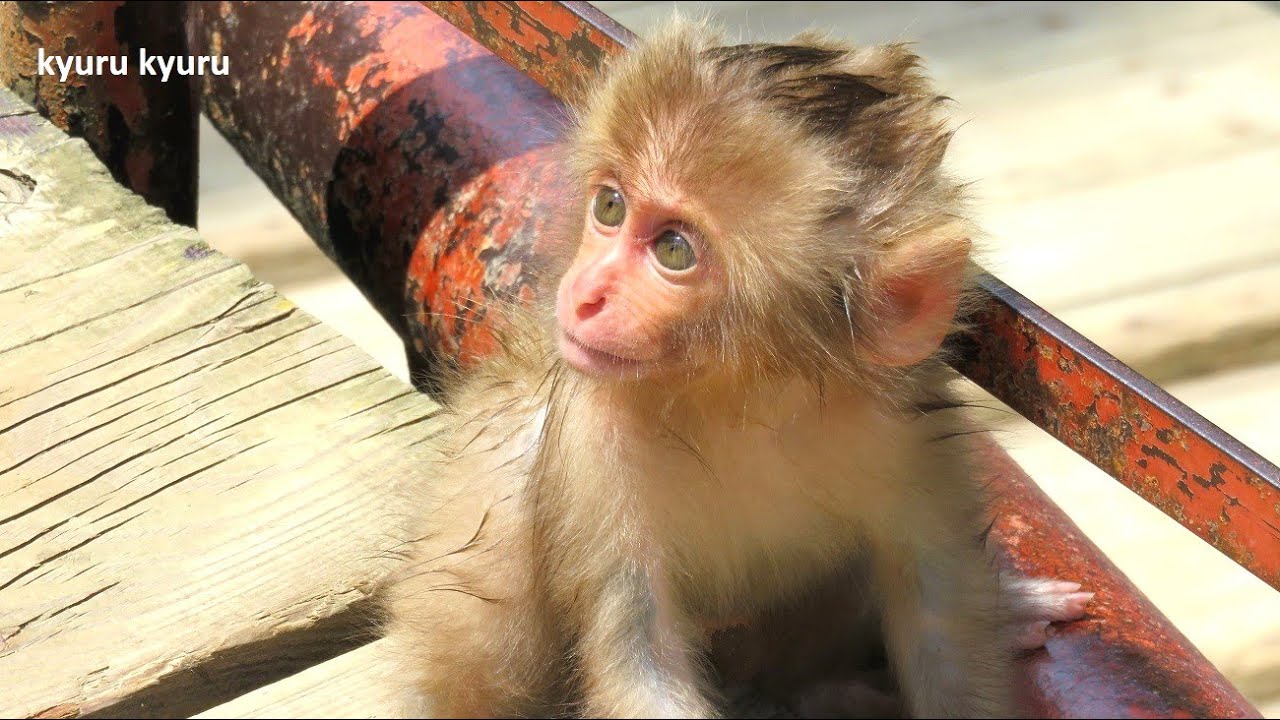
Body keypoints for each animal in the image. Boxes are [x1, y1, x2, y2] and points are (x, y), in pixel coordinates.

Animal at [378, 18, 1090, 717]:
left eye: (674, 249)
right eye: (609, 207)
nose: (585, 294)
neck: (743, 398)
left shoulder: (907, 428)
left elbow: (937, 617)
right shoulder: (594, 438)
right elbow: (640, 653)